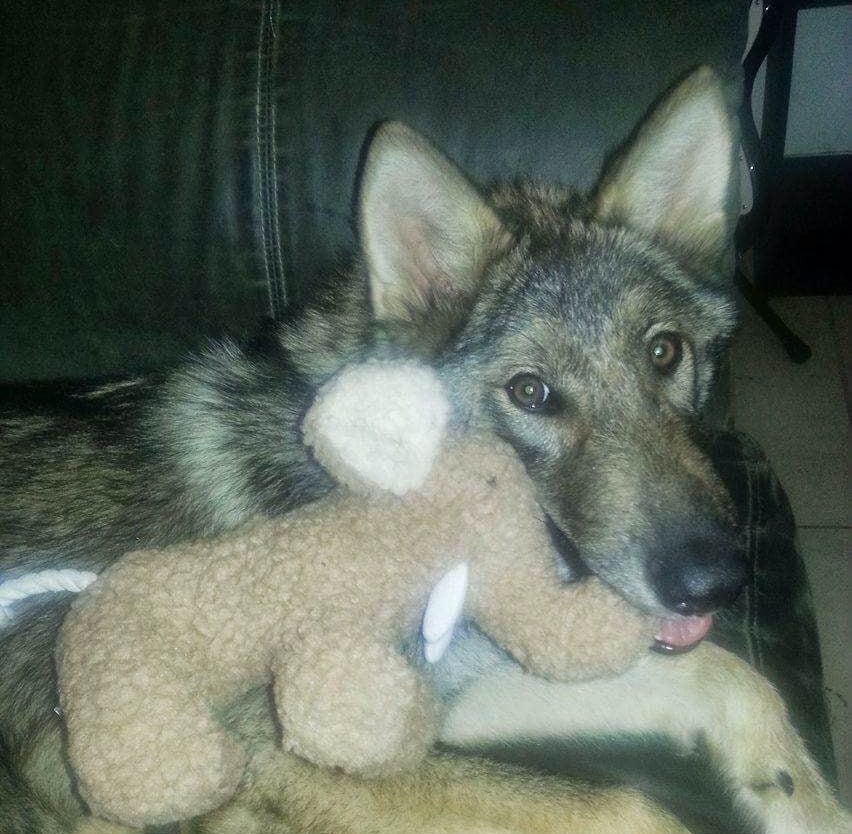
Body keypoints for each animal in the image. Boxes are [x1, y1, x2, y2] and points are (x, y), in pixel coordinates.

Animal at [0, 70, 844, 832]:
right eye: (531, 393)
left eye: (665, 353)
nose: (714, 585)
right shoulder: (272, 757)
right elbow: (629, 804)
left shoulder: (457, 691)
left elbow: (732, 677)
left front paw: (811, 807)